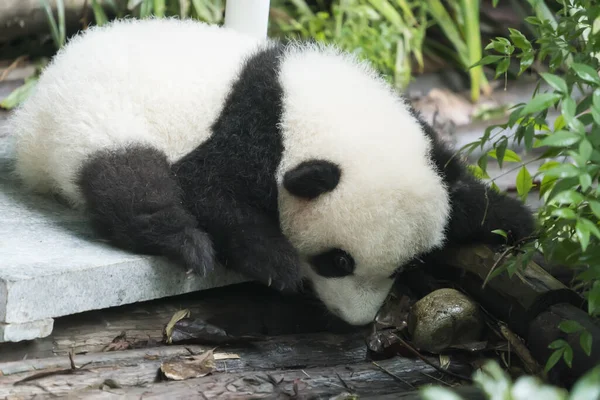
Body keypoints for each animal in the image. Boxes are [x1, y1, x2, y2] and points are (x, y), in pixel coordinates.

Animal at [7, 17, 536, 326]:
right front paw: (276, 263)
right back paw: (183, 240)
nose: (356, 321)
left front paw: (511, 219)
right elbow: (209, 190)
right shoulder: (247, 129)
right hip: (91, 119)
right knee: (128, 179)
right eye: (337, 261)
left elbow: (459, 185)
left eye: (403, 268)